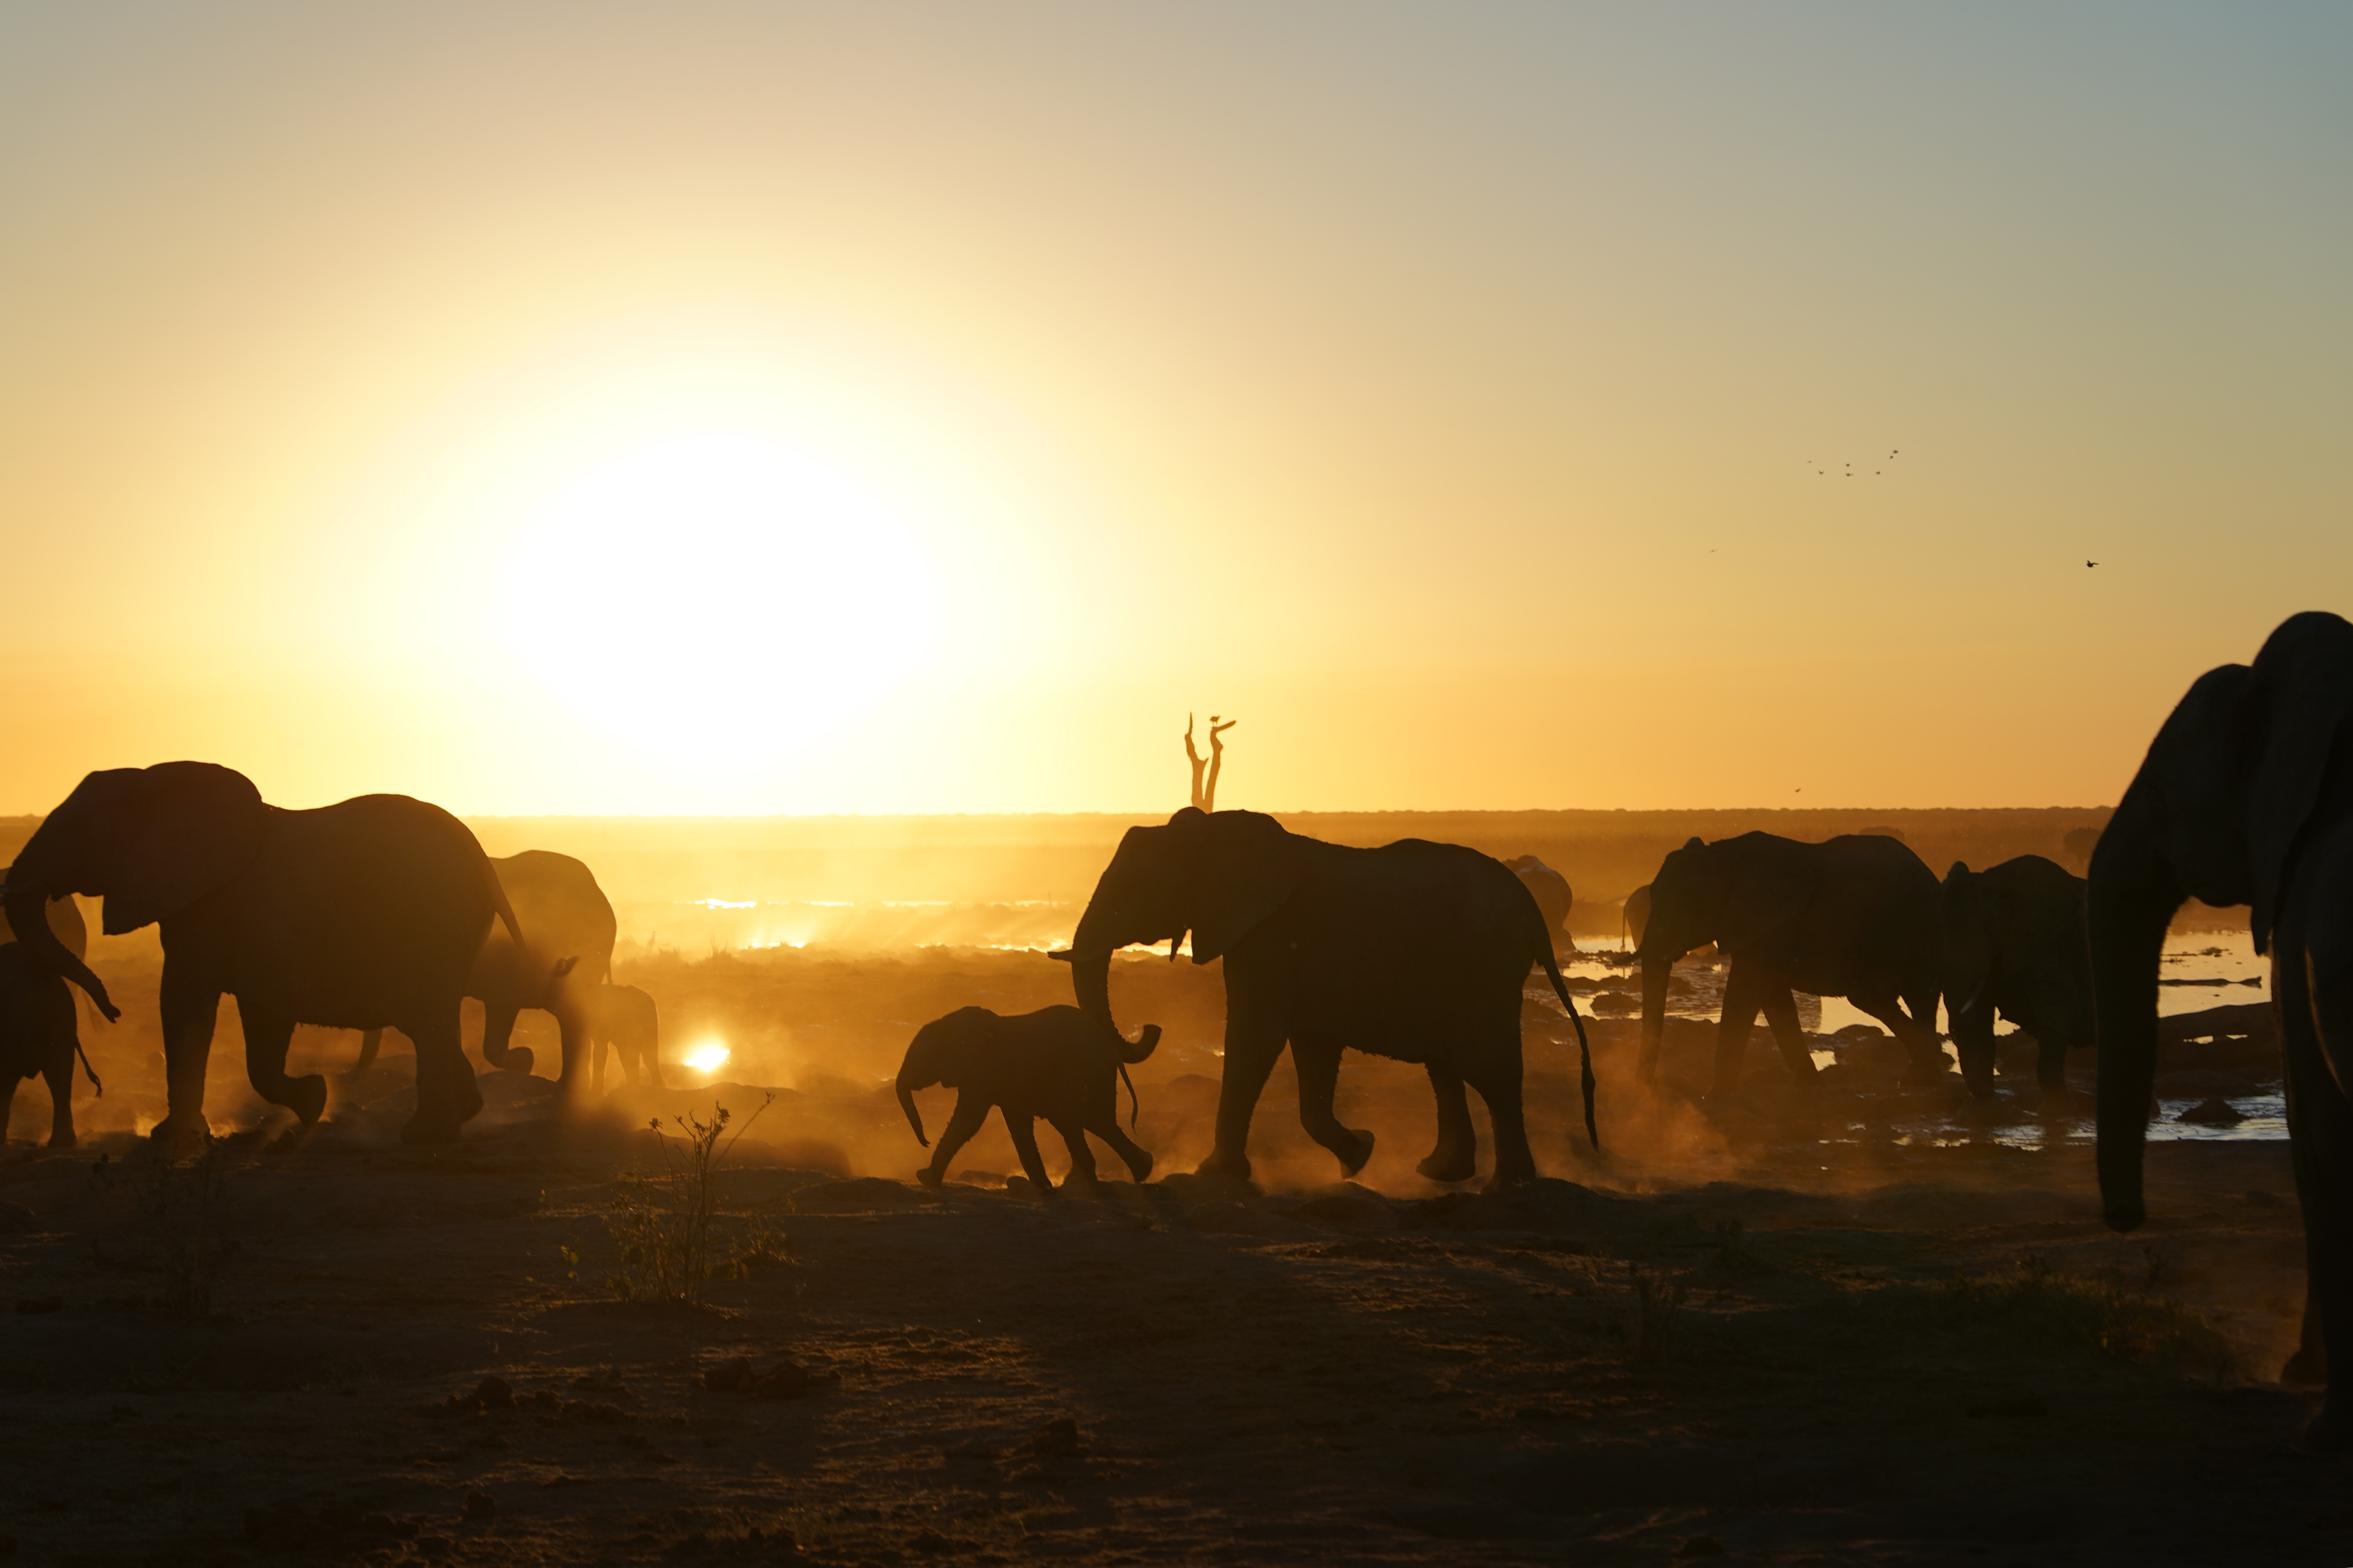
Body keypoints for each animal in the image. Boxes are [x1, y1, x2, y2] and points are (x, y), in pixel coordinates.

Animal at [895, 1005, 1159, 1195]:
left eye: (919, 1059)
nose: (925, 1141)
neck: (950, 1023)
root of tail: (1112, 1051)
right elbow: (1018, 1125)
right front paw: (1043, 1187)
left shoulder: (983, 1070)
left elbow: (969, 1120)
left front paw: (925, 1178)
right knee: (1098, 1124)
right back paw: (1140, 1171)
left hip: (1083, 1075)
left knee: (1080, 1123)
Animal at [1636, 832, 1944, 1094]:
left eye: (1691, 902)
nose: (1653, 1085)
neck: (1724, 855)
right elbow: (1775, 1000)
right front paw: (1812, 1086)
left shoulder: (1769, 922)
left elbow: (1744, 992)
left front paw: (1715, 1095)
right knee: (1872, 1000)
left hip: (1921, 922)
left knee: (1919, 997)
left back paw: (1919, 1080)